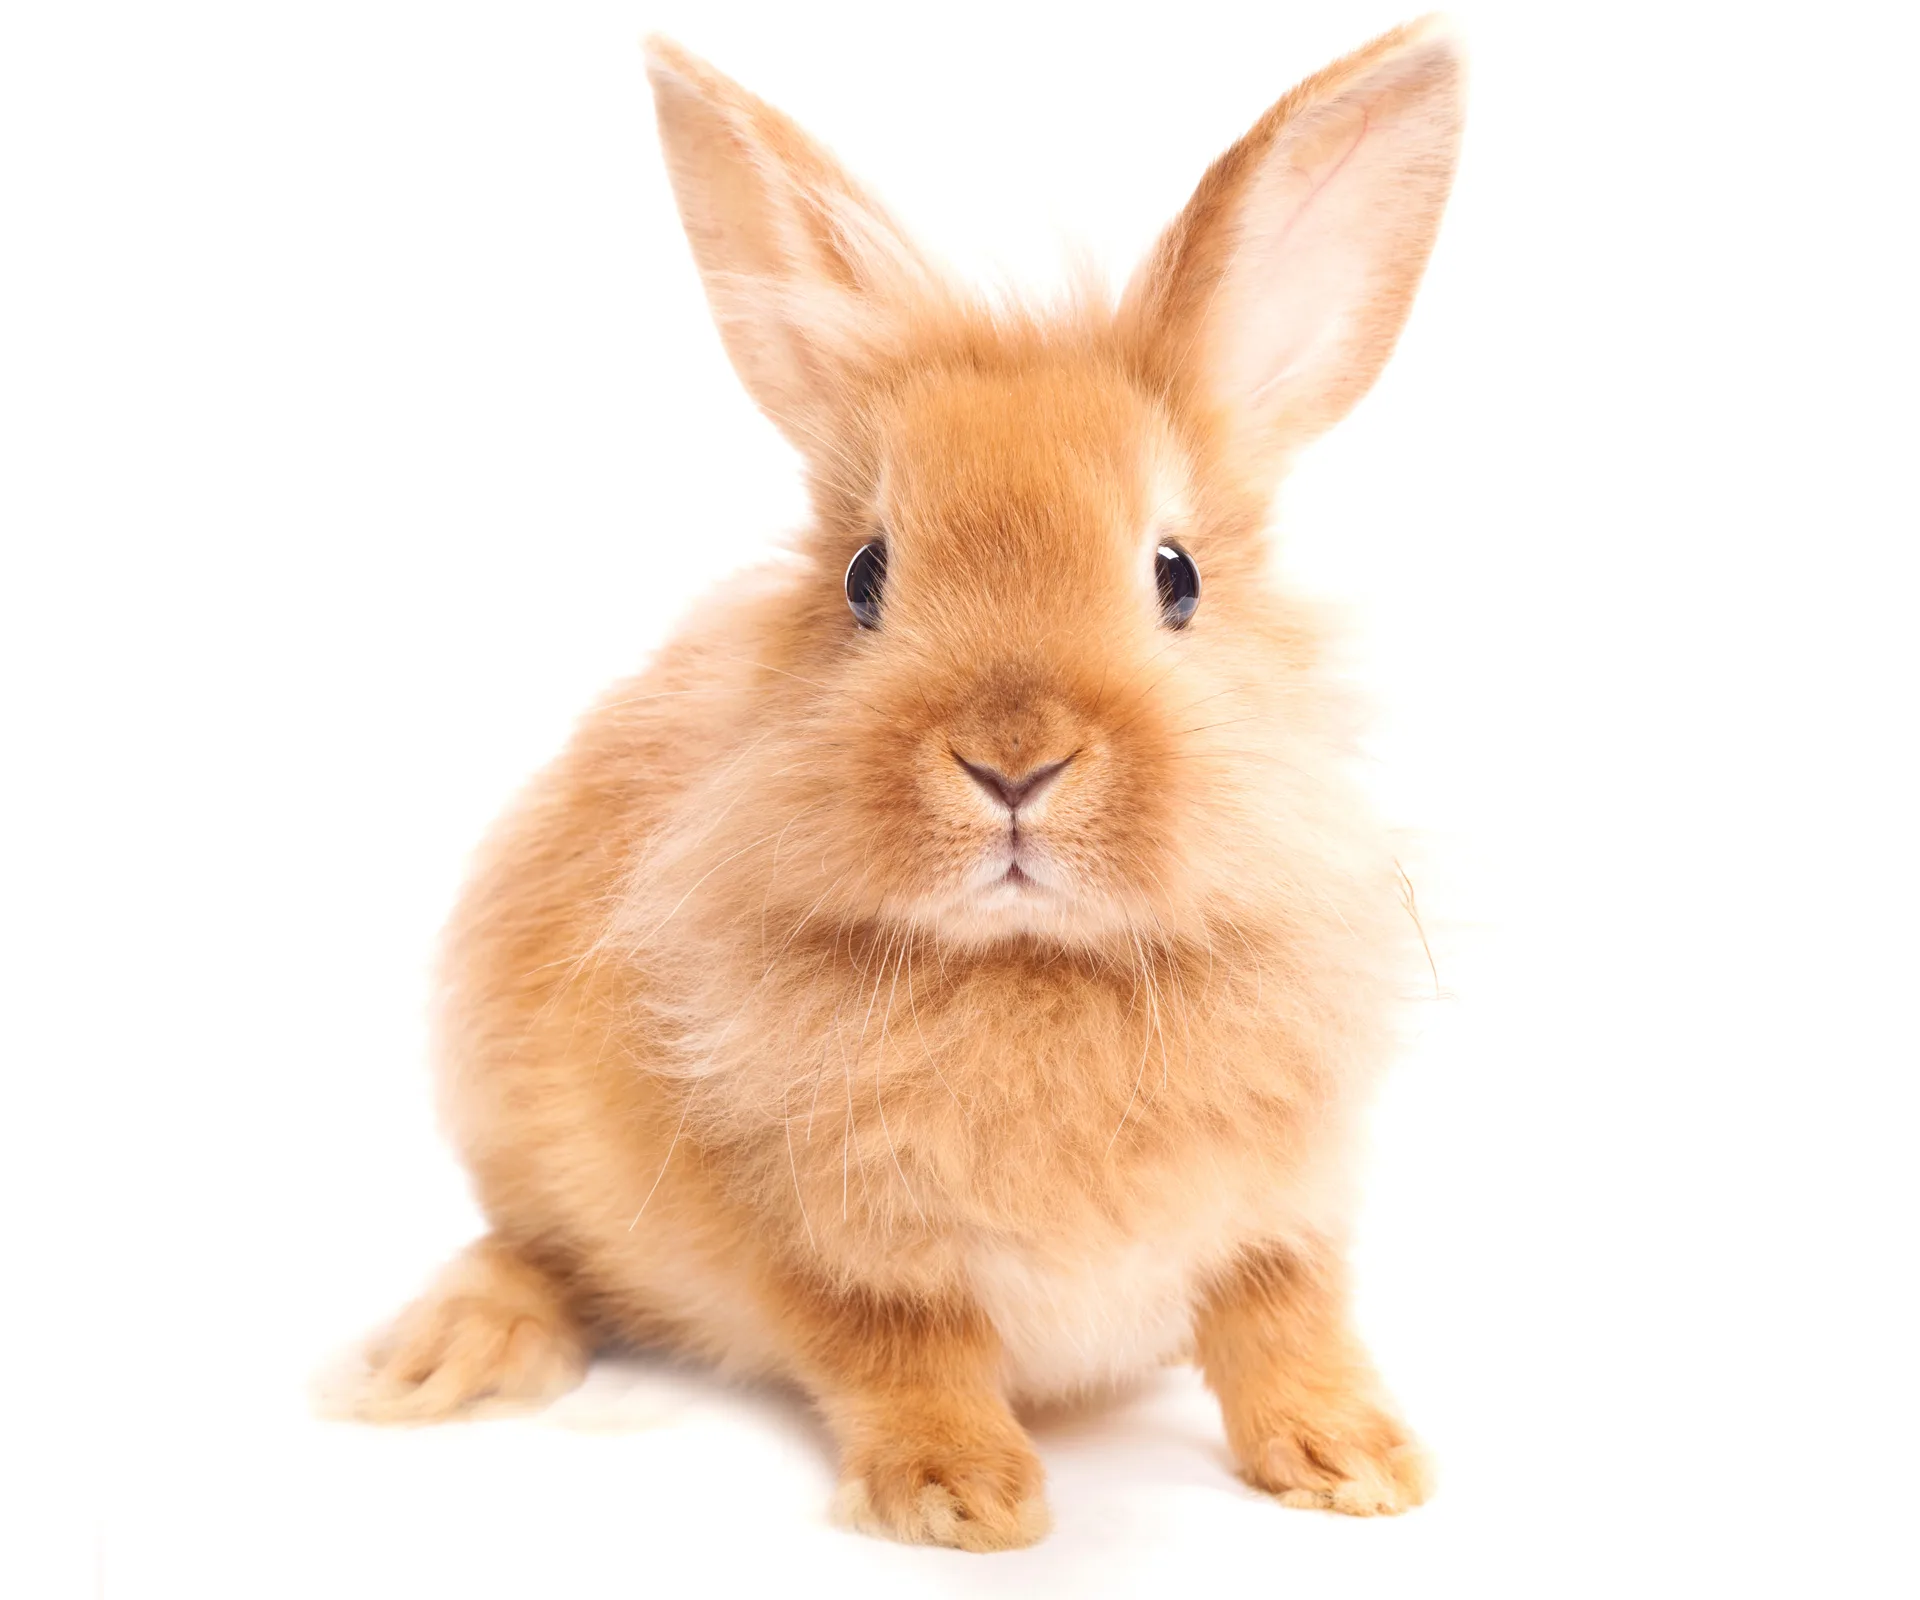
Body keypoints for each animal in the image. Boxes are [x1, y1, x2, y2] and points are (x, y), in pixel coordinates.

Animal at [351, 16, 1465, 1552]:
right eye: (866, 578)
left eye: (1176, 575)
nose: (1012, 760)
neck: (1034, 969)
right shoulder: (827, 1250)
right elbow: (901, 1351)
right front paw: (962, 1500)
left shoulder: (1282, 1216)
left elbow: (1284, 1323)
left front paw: (1358, 1466)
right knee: (533, 1252)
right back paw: (439, 1355)